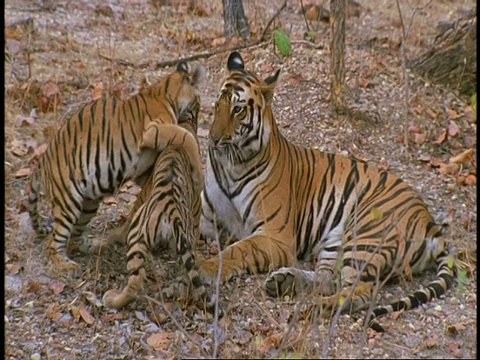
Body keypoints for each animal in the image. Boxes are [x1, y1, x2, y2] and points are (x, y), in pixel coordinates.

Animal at [26, 59, 206, 272]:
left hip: (89, 203)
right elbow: (187, 137)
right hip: (68, 201)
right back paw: (66, 264)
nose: (198, 116)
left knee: (75, 237)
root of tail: (43, 160)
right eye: (198, 104)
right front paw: (199, 177)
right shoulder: (154, 130)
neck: (165, 92)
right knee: (54, 243)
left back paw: (97, 246)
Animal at [195, 50, 454, 332]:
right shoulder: (206, 217)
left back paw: (311, 308)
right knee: (328, 279)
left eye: (238, 109)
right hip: (336, 241)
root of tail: (428, 220)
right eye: (216, 106)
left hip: (365, 236)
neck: (231, 165)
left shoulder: (276, 236)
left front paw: (206, 268)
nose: (213, 139)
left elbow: (237, 250)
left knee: (359, 292)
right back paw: (285, 282)